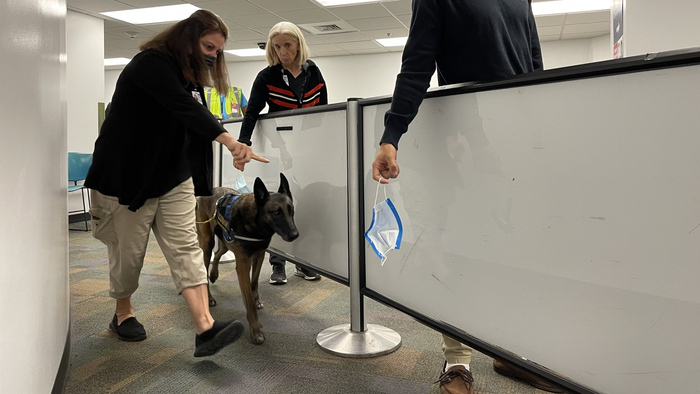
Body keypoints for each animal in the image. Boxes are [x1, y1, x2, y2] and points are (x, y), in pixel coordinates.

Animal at [194, 174, 298, 344]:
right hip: (207, 243)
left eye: (291, 210)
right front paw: (255, 330)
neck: (255, 223)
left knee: (218, 253)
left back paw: (214, 274)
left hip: (225, 242)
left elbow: (254, 282)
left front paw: (256, 301)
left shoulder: (259, 255)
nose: (295, 235)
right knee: (206, 265)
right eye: (276, 212)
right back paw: (208, 297)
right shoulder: (243, 264)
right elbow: (248, 299)